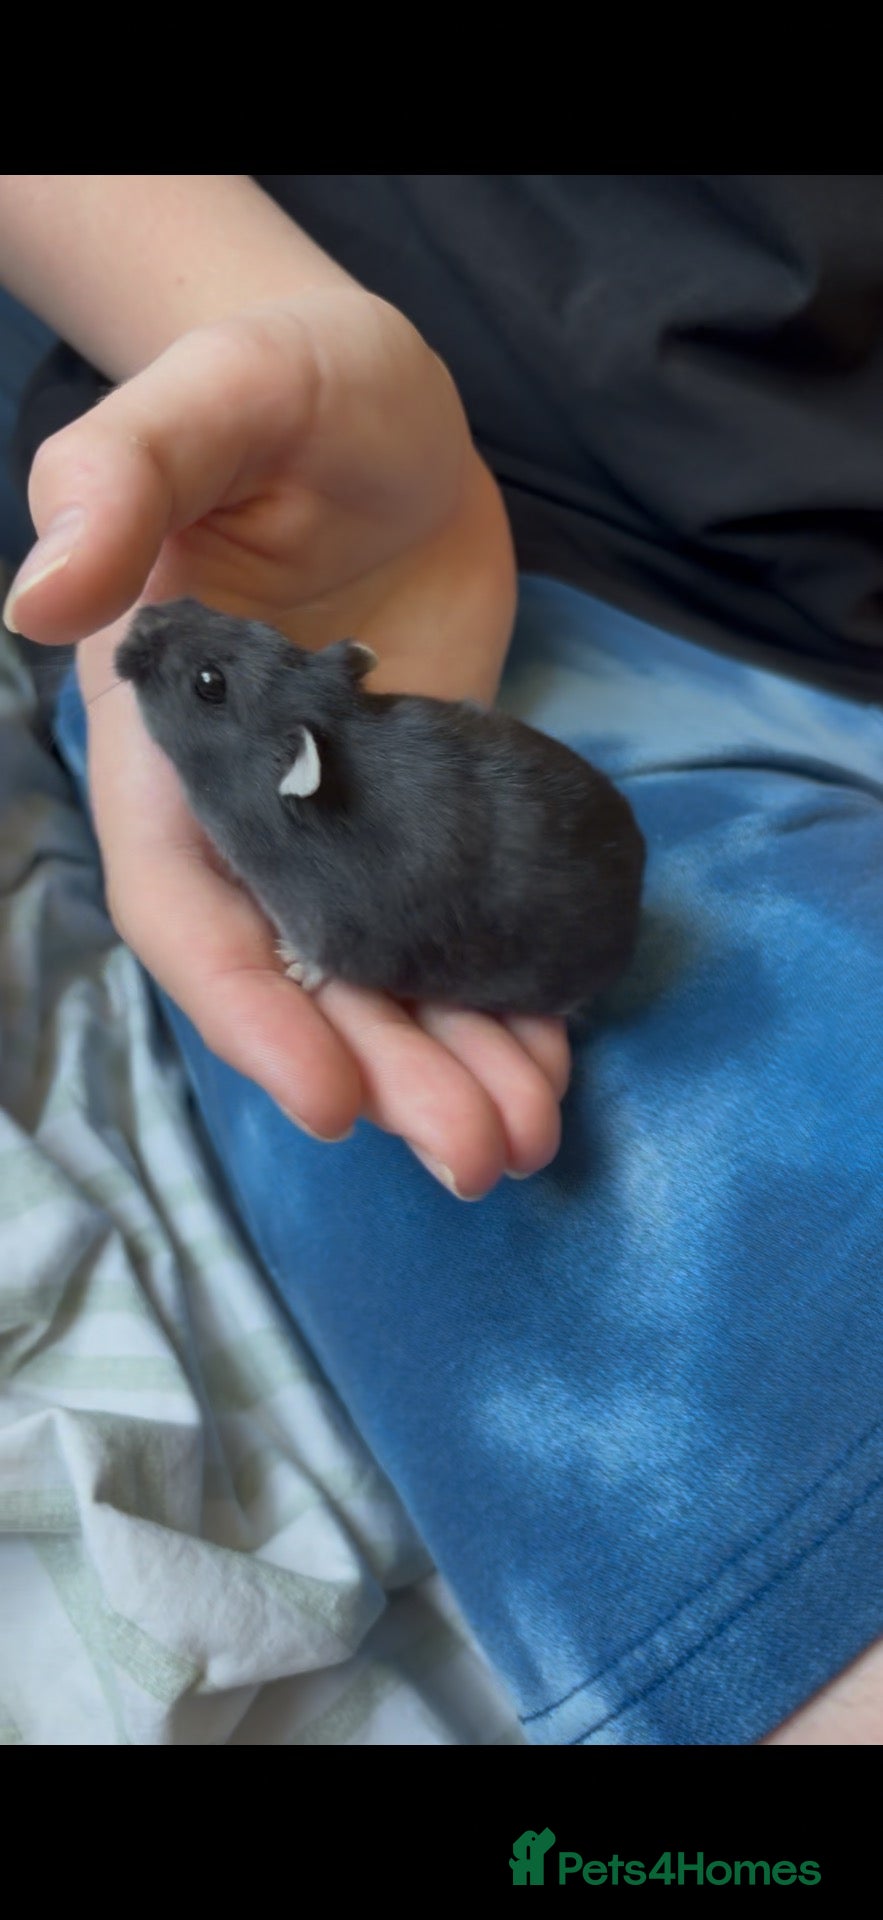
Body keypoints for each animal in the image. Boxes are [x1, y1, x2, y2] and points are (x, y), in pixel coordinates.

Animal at [115, 599, 646, 1015]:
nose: (142, 615)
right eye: (257, 625)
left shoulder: (329, 923)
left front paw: (299, 964)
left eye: (210, 682)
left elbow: (323, 957)